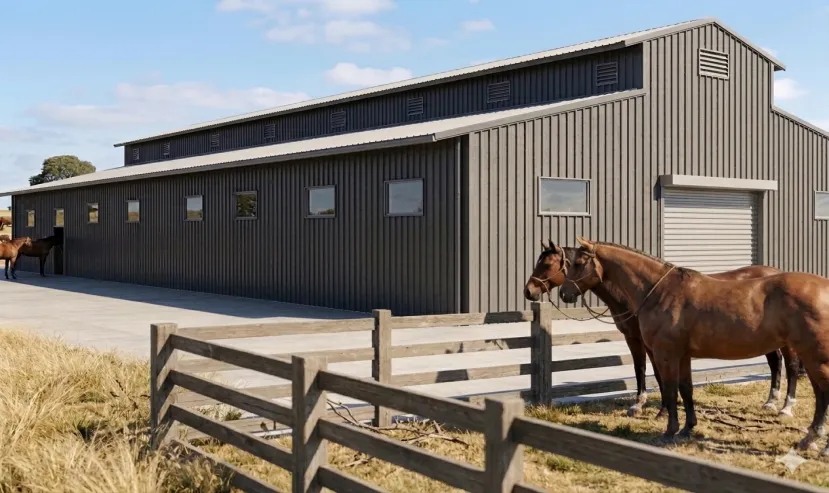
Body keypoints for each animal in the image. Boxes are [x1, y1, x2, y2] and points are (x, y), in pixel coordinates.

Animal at [524, 241, 802, 418]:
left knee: (790, 366)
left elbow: (653, 372)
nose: (529, 291)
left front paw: (655, 408)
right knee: (775, 364)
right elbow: (645, 370)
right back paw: (770, 402)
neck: (642, 293)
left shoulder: (649, 343)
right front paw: (651, 406)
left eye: (548, 265)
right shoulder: (638, 339)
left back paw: (786, 407)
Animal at [558, 237, 829, 453]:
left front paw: (669, 430)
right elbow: (686, 389)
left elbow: (669, 390)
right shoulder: (683, 356)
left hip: (812, 355)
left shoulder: (665, 354)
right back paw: (808, 438)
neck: (659, 292)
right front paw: (688, 428)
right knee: (818, 393)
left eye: (578, 263)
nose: (564, 293)